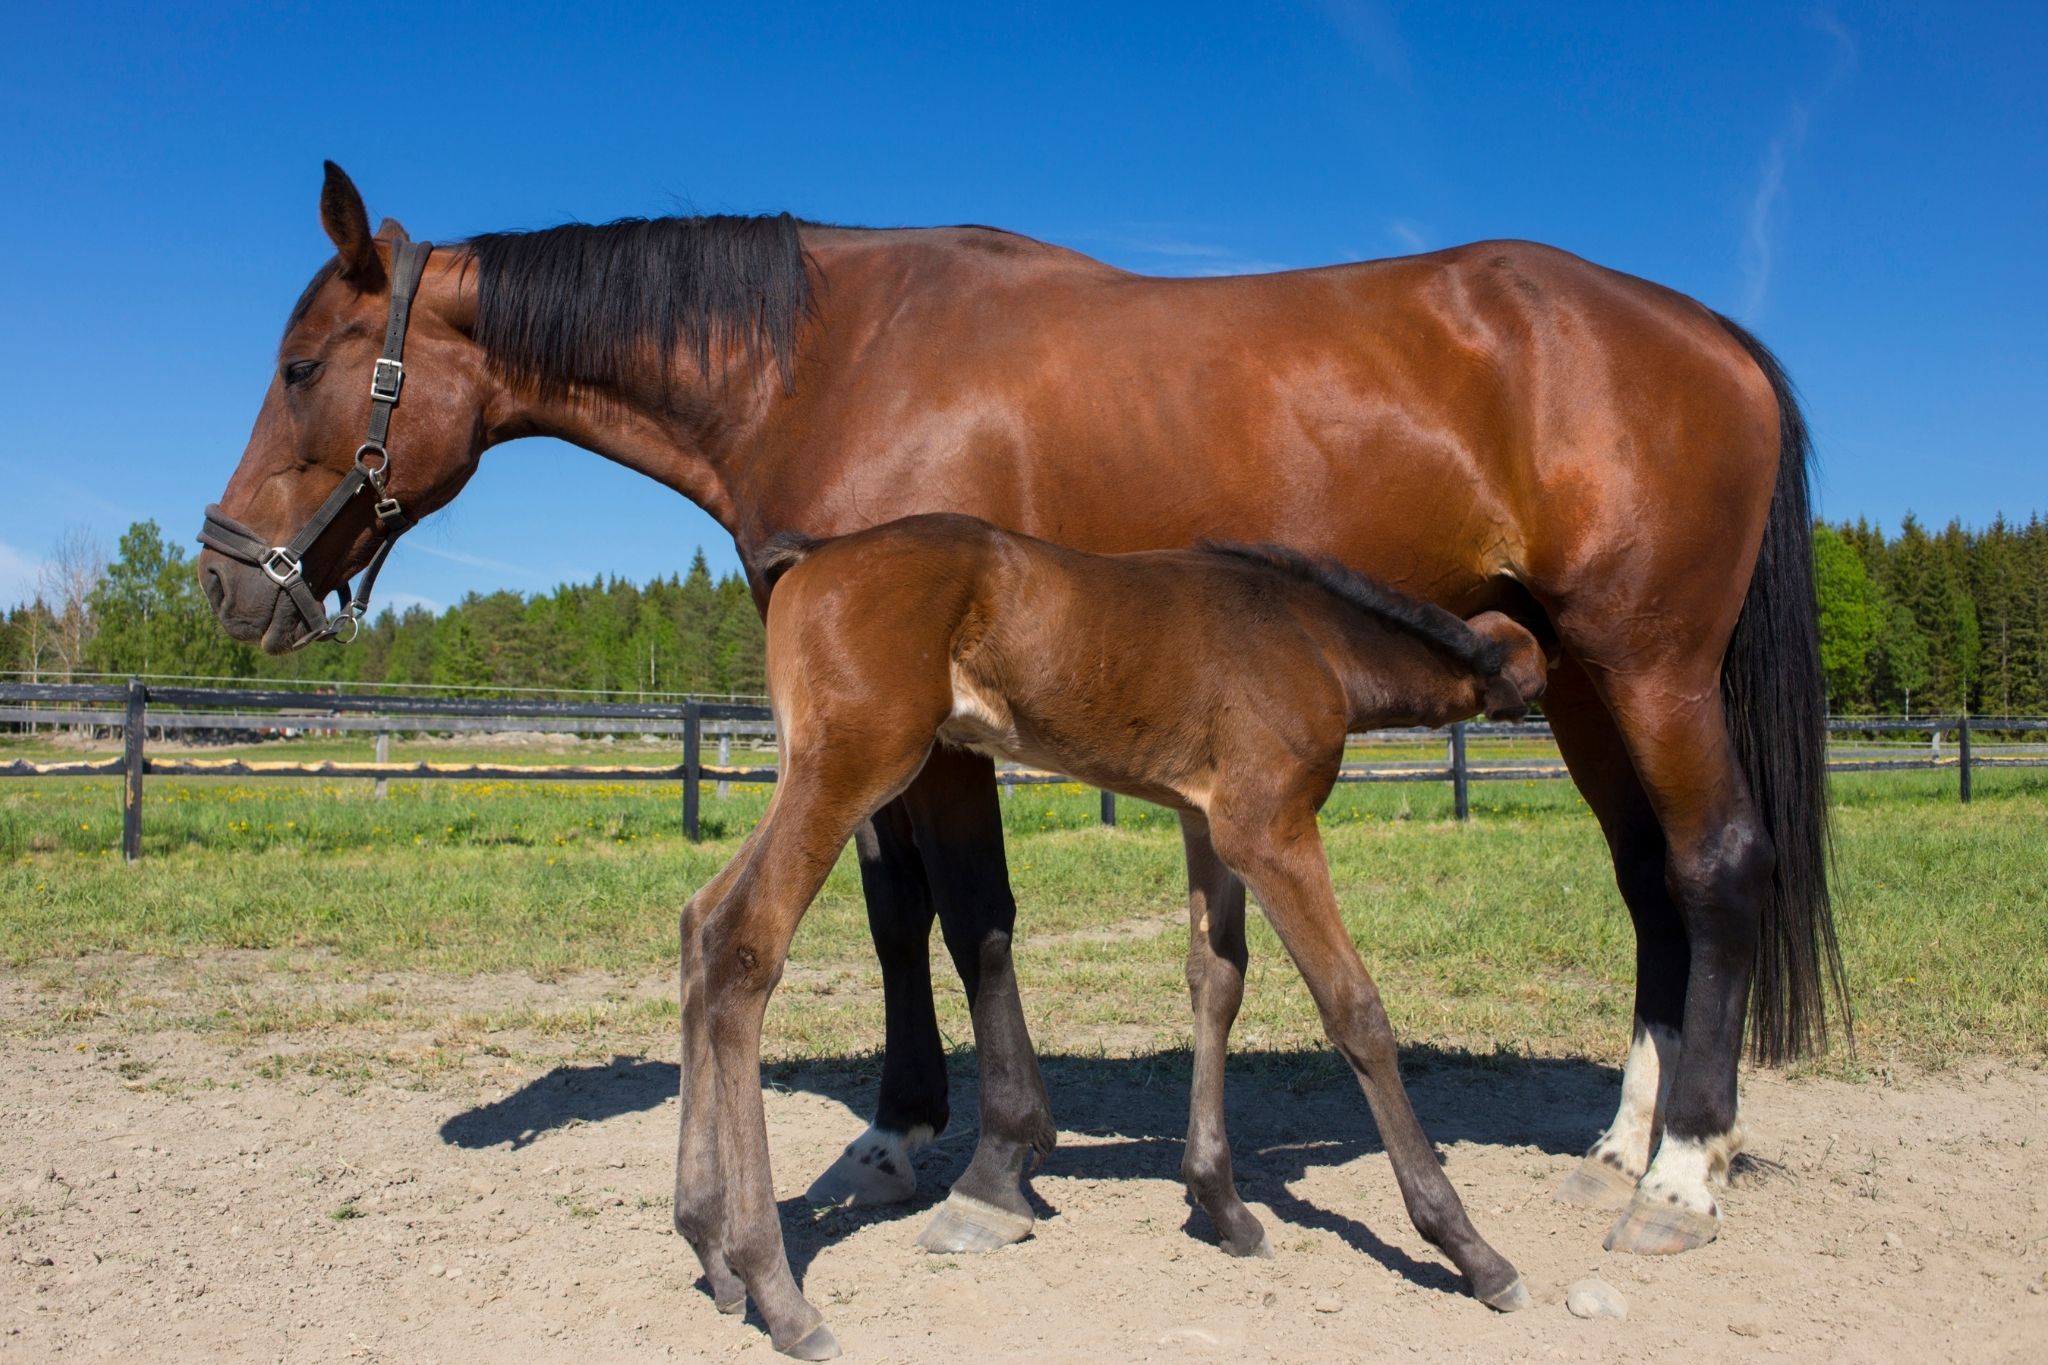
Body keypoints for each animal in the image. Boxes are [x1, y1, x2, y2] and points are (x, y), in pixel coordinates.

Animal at [673, 512, 1548, 1355]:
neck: (1312, 638)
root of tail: (812, 553)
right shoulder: (1272, 828)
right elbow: (1354, 1008)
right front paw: (1472, 1250)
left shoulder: (1208, 823)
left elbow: (1216, 981)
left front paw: (1223, 1204)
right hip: (855, 762)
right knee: (744, 943)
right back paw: (779, 1292)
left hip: (810, 767)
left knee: (699, 922)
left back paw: (709, 1247)